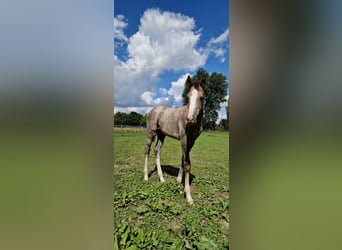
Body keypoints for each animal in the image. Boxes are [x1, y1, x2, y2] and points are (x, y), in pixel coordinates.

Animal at [143, 76, 204, 205]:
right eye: (188, 97)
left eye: (201, 97)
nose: (190, 118)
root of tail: (152, 110)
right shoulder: (184, 139)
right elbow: (187, 164)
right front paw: (188, 196)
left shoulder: (191, 142)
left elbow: (183, 159)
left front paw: (179, 180)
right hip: (151, 133)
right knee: (147, 149)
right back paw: (146, 176)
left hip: (162, 135)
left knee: (157, 150)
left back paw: (161, 178)